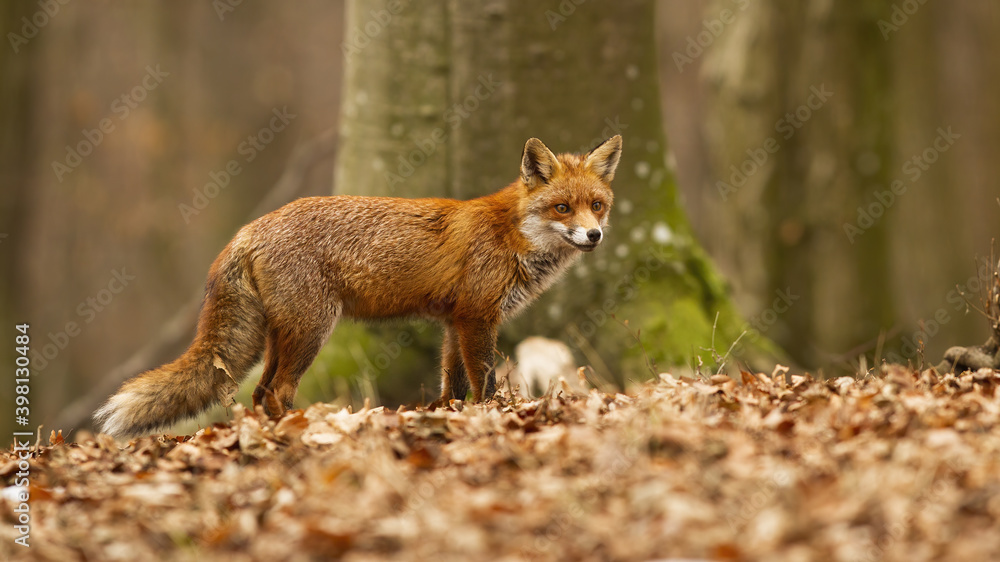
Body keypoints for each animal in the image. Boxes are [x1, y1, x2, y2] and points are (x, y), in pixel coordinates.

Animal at [97, 133, 620, 436]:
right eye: (562, 208)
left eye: (597, 205)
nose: (594, 236)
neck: (512, 235)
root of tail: (249, 229)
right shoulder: (477, 318)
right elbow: (485, 382)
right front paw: (490, 418)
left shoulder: (454, 322)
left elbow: (452, 385)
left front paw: (451, 416)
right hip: (312, 330)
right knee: (278, 391)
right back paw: (299, 432)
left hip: (282, 335)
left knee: (259, 393)